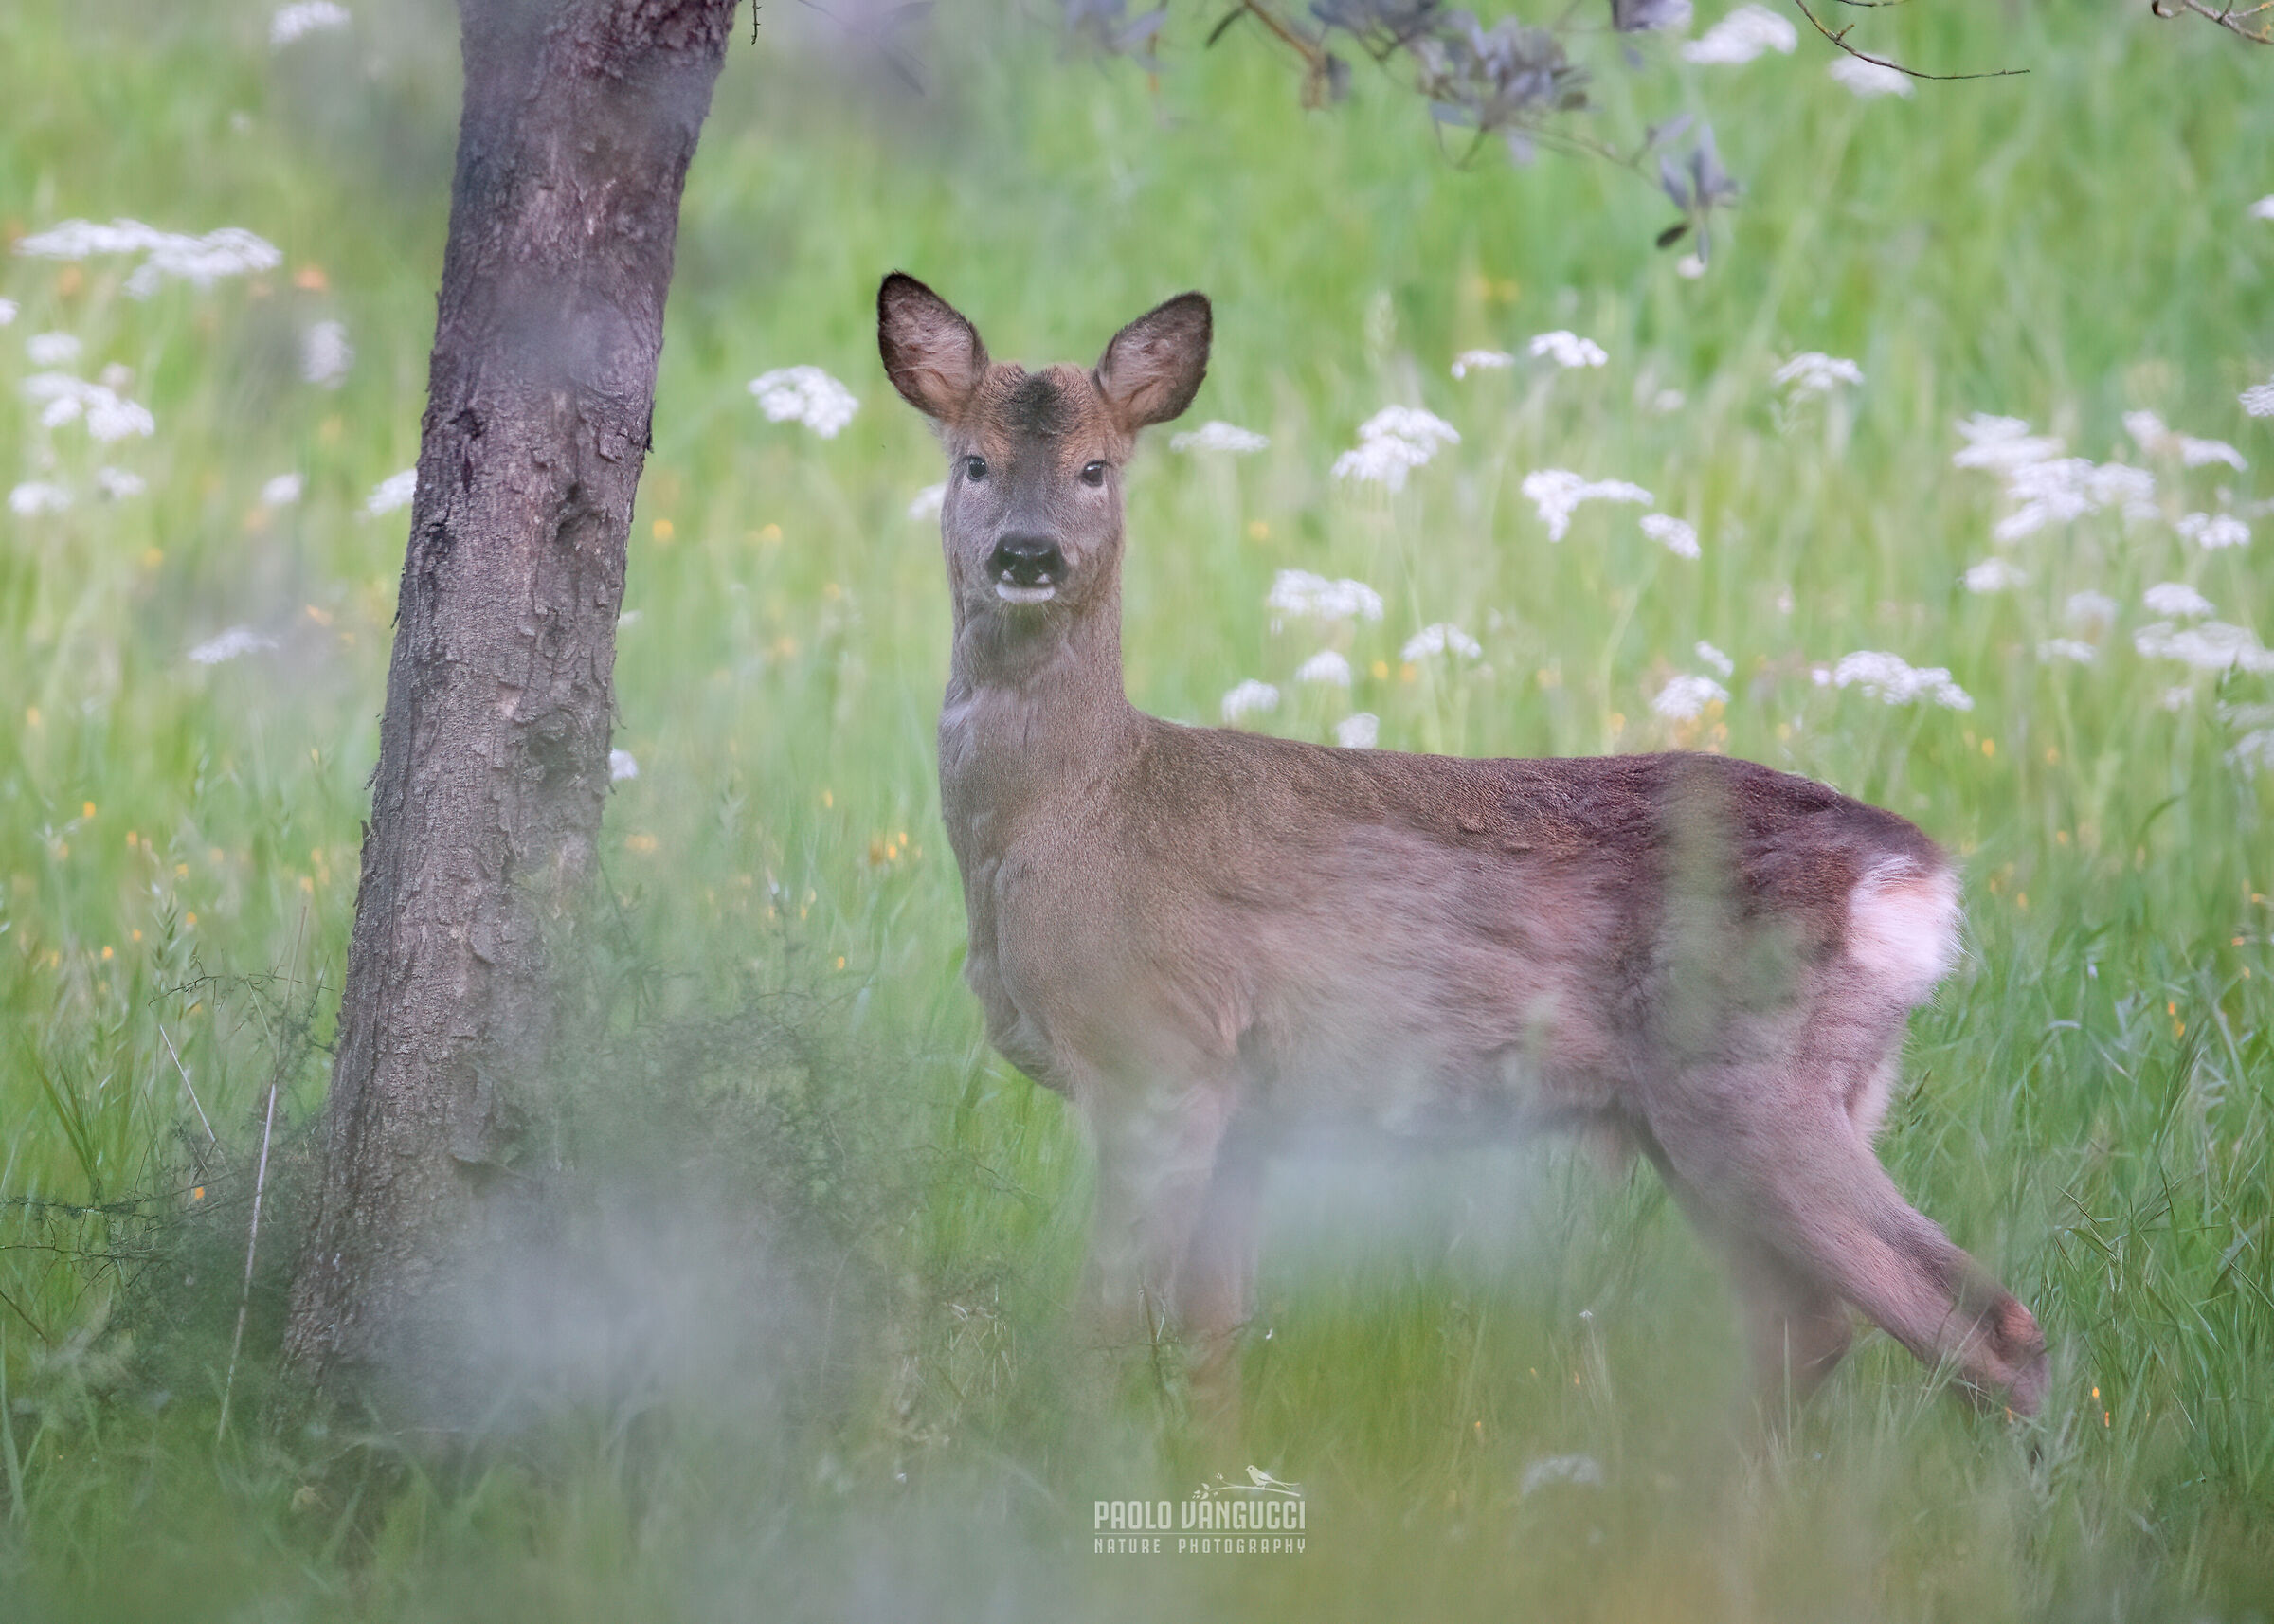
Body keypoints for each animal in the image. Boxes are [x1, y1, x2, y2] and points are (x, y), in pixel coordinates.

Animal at [875, 271, 2048, 1429]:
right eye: (974, 461)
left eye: (1096, 468)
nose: (1029, 554)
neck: (1071, 814)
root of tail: (1917, 880)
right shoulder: (1242, 1108)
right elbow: (1216, 1339)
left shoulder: (1159, 1053)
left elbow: (1104, 1328)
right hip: (1727, 1113)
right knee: (1810, 1327)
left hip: (1755, 1082)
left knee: (1982, 1324)